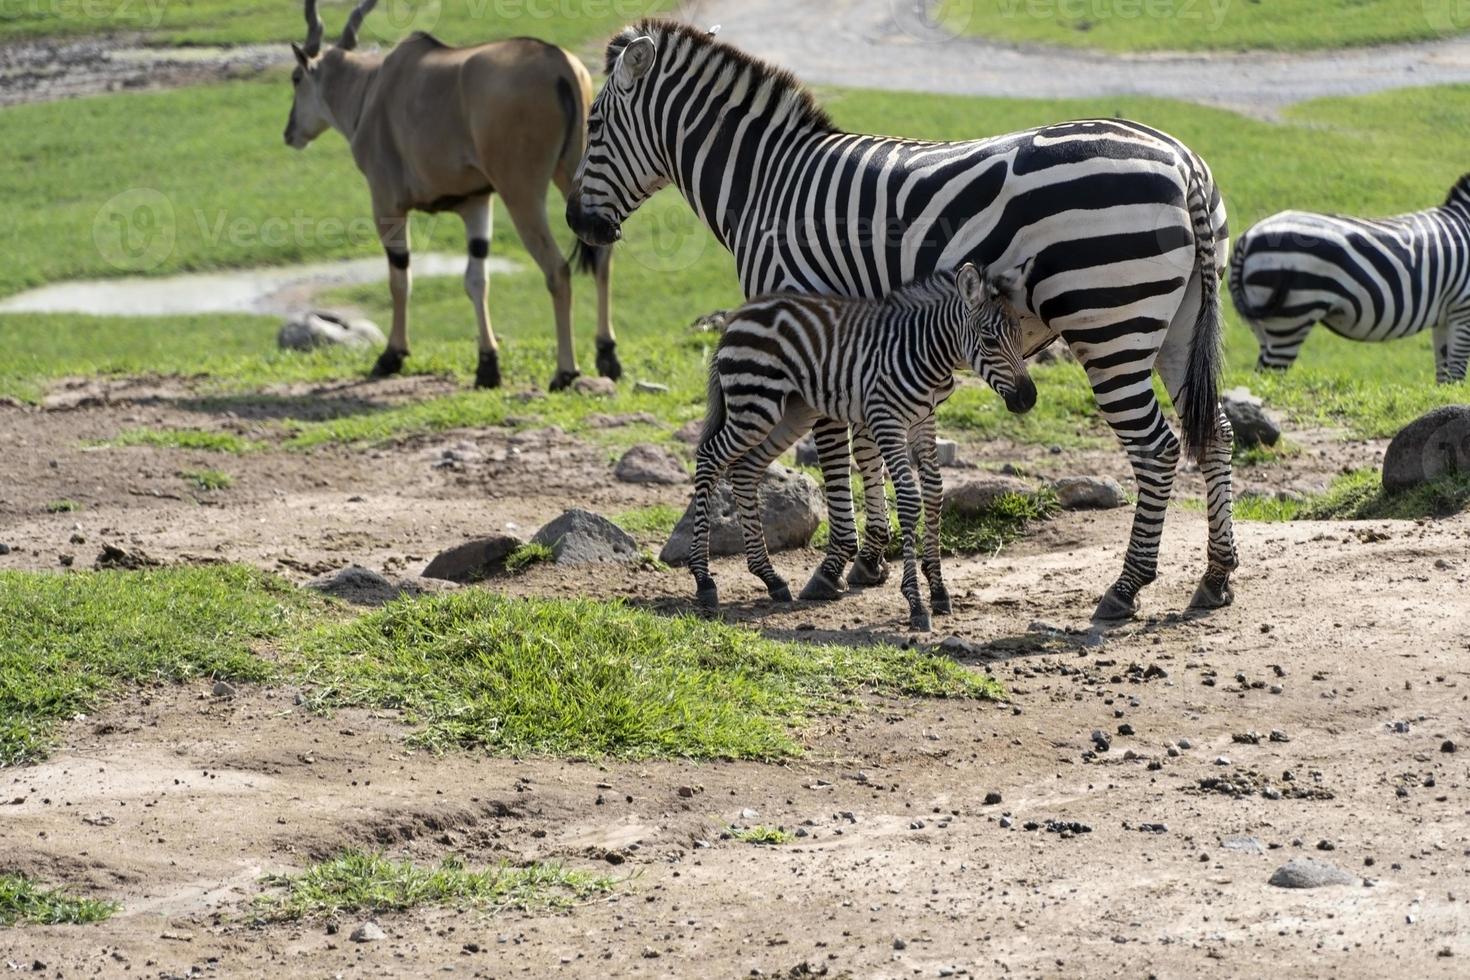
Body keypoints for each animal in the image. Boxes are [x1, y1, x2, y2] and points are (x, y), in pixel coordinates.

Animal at [283, 0, 617, 390]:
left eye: (296, 77)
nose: (290, 132)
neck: (372, 89)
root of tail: (560, 64)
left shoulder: (387, 204)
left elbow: (400, 280)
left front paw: (391, 356)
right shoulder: (476, 203)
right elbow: (476, 280)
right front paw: (487, 366)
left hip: (522, 194)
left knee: (558, 270)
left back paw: (565, 371)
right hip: (574, 179)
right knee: (602, 258)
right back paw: (607, 356)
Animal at [690, 262, 1029, 628]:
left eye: (1021, 336)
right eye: (990, 341)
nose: (1028, 399)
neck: (922, 351)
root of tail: (737, 316)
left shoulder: (924, 420)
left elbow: (935, 492)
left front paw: (938, 589)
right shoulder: (886, 420)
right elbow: (909, 499)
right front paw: (915, 602)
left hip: (789, 412)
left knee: (744, 469)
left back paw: (770, 577)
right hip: (755, 404)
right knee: (709, 458)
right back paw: (704, 581)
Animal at [1228, 174, 1470, 382]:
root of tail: (1247, 239)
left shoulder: (1445, 316)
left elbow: (1444, 376)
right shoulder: (1463, 310)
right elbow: (1456, 375)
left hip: (1264, 324)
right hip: (1292, 319)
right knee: (1268, 374)